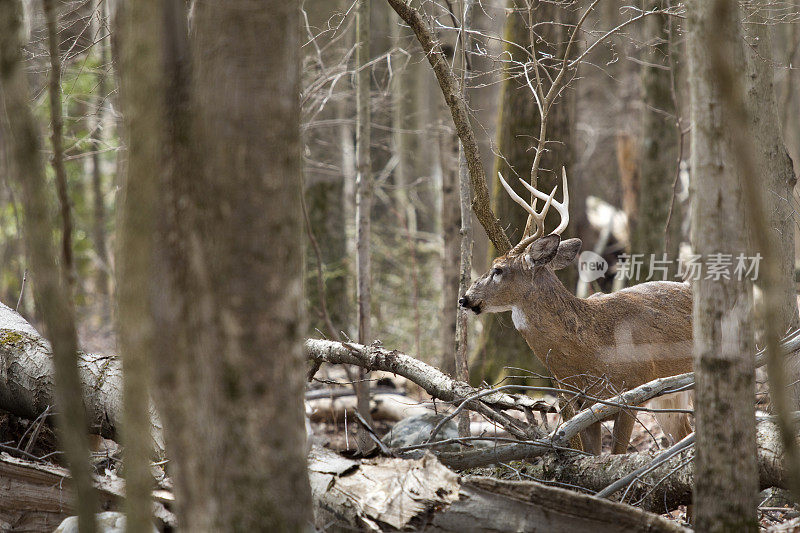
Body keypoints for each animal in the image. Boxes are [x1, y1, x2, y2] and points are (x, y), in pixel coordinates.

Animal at [460, 169, 692, 454]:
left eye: (498, 269)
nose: (465, 298)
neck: (593, 350)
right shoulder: (580, 405)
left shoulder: (632, 392)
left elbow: (617, 454)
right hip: (669, 396)